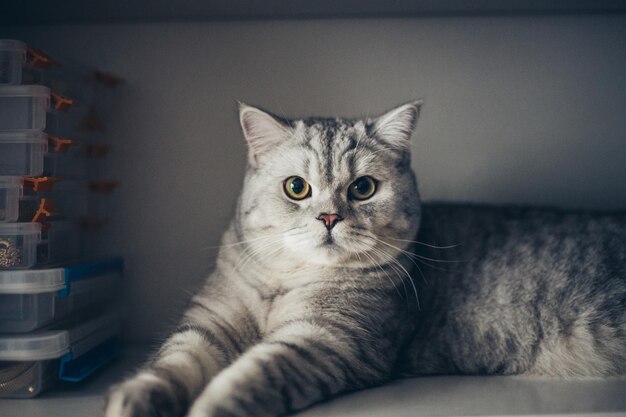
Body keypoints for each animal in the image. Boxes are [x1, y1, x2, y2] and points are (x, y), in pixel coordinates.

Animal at [103, 101, 624, 416]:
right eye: (297, 187)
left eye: (363, 188)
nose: (330, 216)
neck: (285, 282)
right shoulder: (209, 324)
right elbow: (174, 362)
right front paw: (133, 398)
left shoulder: (327, 339)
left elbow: (256, 372)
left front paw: (212, 404)